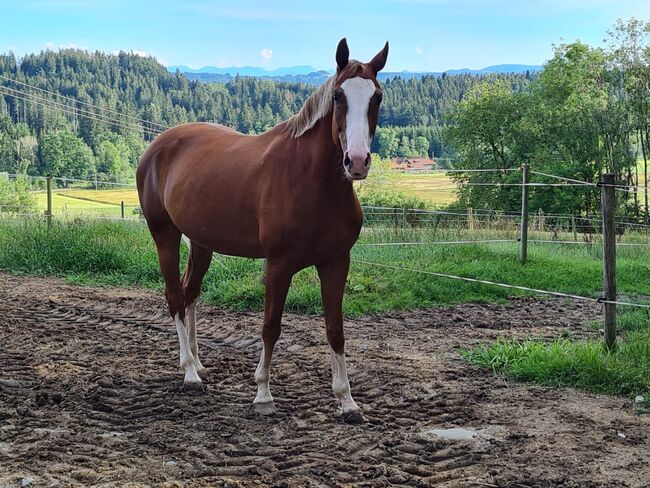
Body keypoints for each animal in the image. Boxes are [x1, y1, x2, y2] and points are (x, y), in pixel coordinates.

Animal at [134, 38, 382, 422]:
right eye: (338, 96)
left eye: (377, 97)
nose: (356, 162)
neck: (314, 183)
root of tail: (157, 146)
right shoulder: (279, 264)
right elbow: (270, 326)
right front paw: (263, 394)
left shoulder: (336, 262)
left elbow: (335, 329)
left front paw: (347, 401)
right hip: (165, 237)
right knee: (175, 297)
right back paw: (190, 374)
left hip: (201, 244)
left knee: (190, 294)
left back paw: (197, 363)